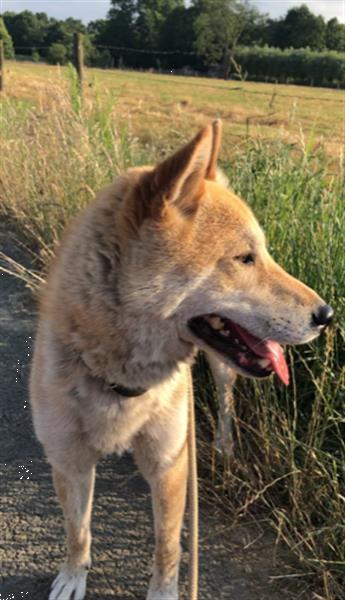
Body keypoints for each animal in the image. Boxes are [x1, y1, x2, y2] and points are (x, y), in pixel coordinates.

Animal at [30, 119, 332, 596]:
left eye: (262, 254)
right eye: (245, 258)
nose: (328, 315)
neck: (123, 379)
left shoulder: (170, 463)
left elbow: (167, 546)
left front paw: (164, 592)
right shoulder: (69, 459)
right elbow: (77, 531)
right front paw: (73, 576)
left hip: (222, 369)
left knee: (226, 400)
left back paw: (225, 446)